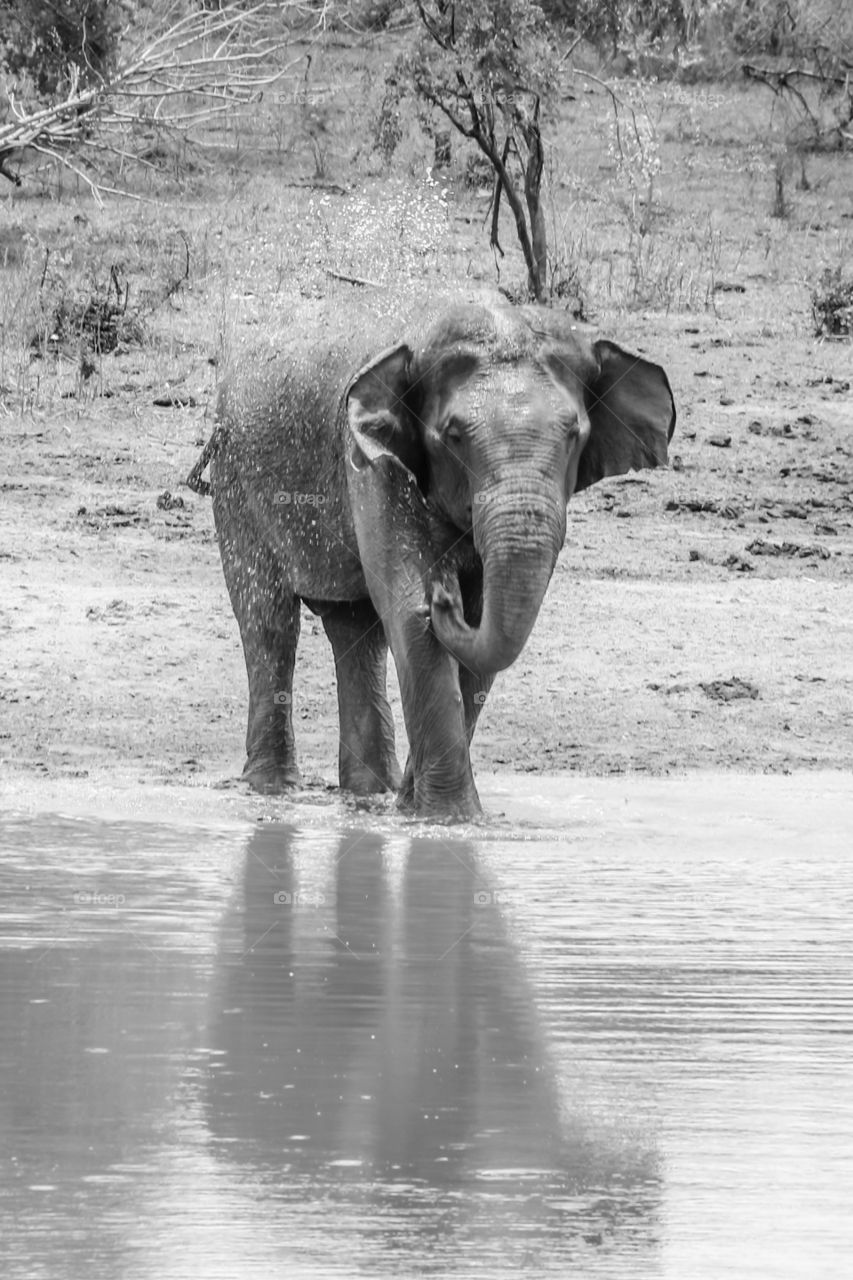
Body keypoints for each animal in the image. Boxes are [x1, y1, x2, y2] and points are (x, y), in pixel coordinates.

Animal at [189, 295, 675, 818]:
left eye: (574, 435)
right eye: (453, 435)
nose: (447, 596)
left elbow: (479, 635)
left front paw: (414, 808)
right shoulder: (370, 462)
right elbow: (409, 612)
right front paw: (450, 819)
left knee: (356, 632)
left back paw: (368, 795)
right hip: (236, 481)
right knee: (269, 622)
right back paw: (273, 788)